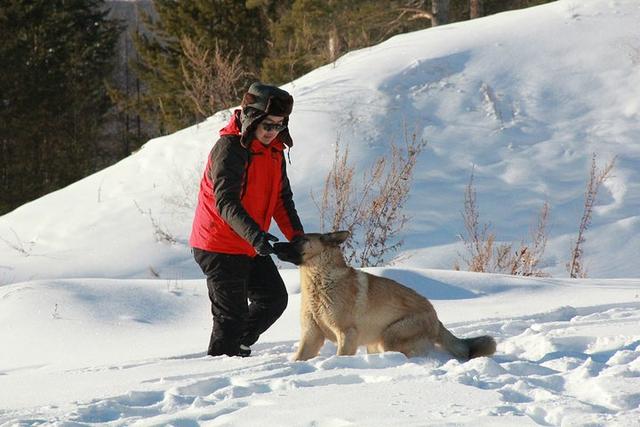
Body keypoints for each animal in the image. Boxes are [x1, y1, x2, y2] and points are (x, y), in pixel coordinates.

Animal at [272, 232, 498, 362]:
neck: (320, 281)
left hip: (391, 337)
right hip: (376, 343)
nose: (274, 244)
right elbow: (298, 358)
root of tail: (436, 318)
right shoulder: (311, 337)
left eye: (300, 240)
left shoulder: (346, 334)